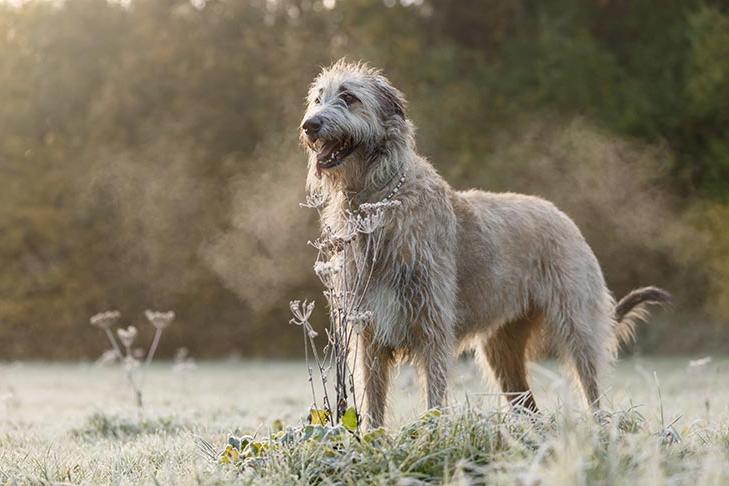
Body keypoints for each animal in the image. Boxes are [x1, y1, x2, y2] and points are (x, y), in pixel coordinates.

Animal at [298, 60, 668, 430]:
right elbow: (373, 400)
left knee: (590, 386)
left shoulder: (433, 325)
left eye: (349, 97)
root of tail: (564, 217)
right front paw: (374, 438)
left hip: (576, 324)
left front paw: (432, 432)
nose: (310, 125)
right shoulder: (369, 333)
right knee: (527, 404)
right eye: (318, 98)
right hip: (502, 348)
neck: (377, 201)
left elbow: (434, 394)